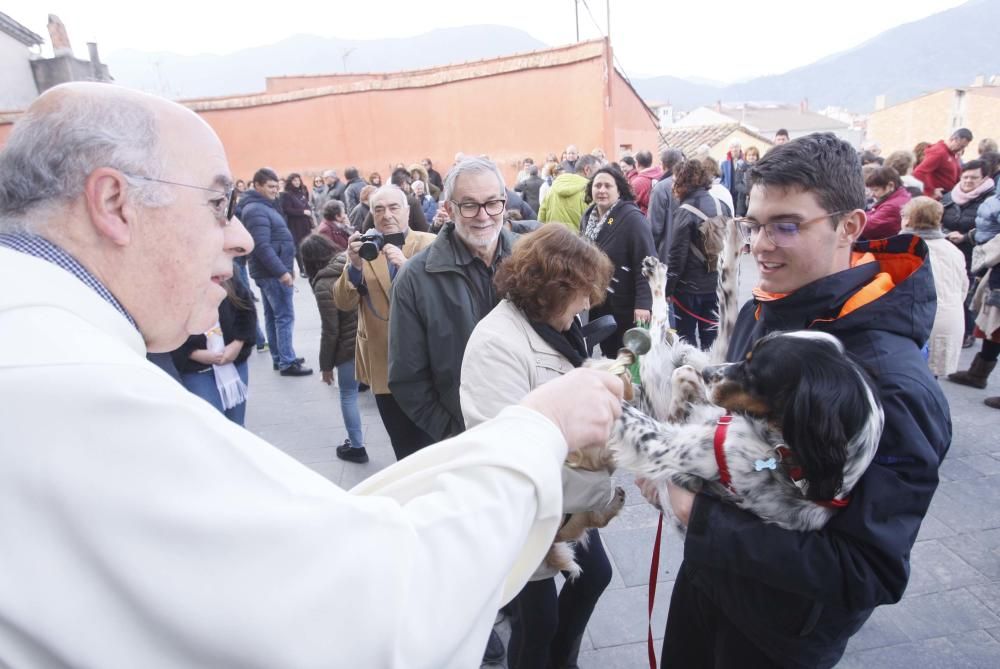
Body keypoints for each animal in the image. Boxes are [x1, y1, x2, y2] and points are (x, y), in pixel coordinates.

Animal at [604, 253, 888, 528]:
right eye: (748, 356)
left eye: (754, 372)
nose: (709, 374)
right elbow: (684, 374)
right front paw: (679, 406)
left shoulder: (667, 445)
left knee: (660, 326)